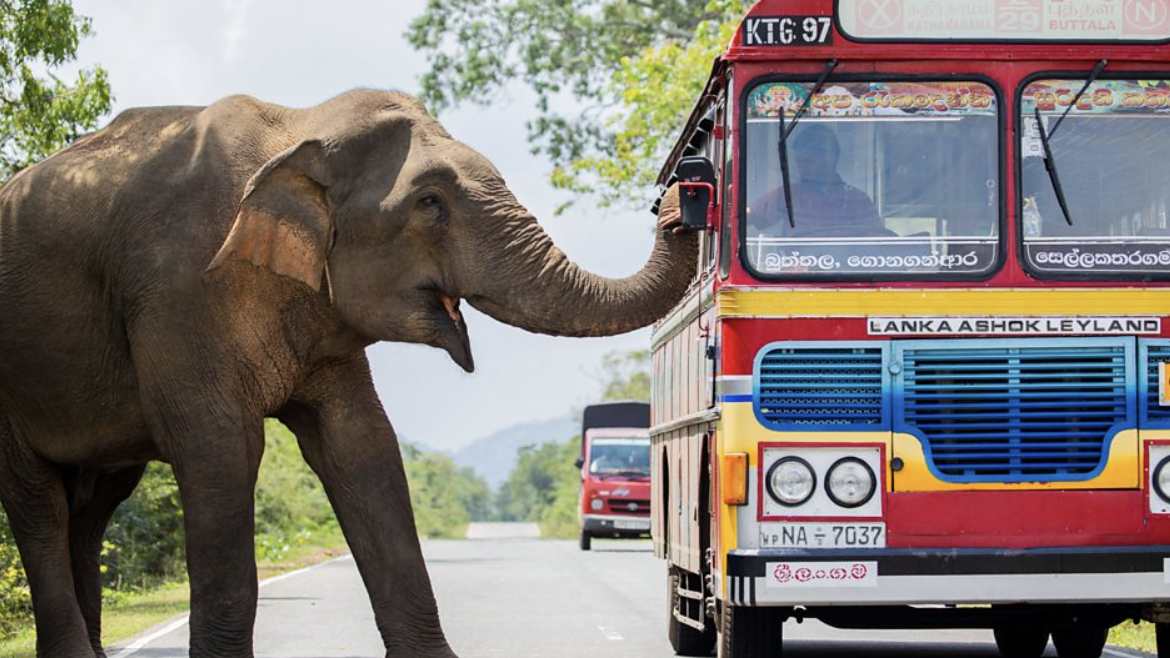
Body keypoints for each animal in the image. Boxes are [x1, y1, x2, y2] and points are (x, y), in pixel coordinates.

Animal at [0, 88, 692, 655]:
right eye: (430, 203)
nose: (679, 194)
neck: (296, 128)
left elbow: (361, 446)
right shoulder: (176, 293)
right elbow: (221, 449)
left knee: (95, 505)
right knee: (40, 504)